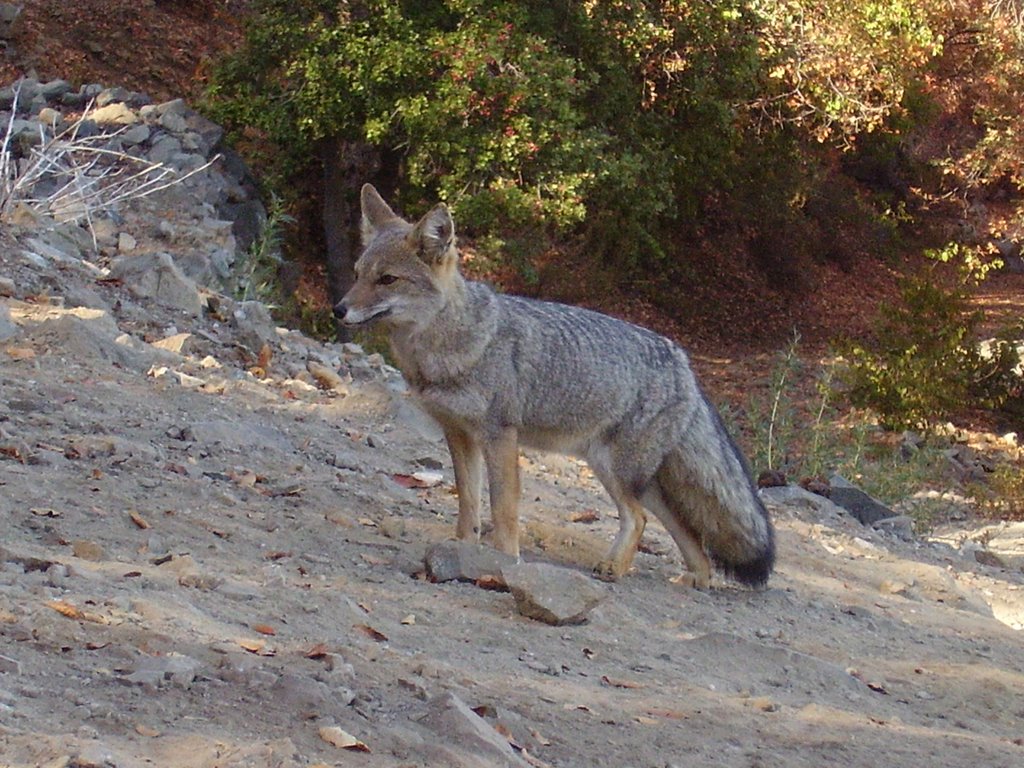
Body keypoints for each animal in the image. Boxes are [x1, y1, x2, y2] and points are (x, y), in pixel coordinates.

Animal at [335, 185, 774, 589]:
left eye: (387, 279)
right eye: (357, 275)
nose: (338, 309)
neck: (454, 343)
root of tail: (682, 361)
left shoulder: (500, 436)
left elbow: (503, 508)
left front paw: (503, 561)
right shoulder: (458, 434)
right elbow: (468, 503)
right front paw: (462, 548)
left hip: (617, 471)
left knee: (639, 519)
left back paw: (615, 568)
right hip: (627, 474)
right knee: (686, 534)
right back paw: (694, 579)